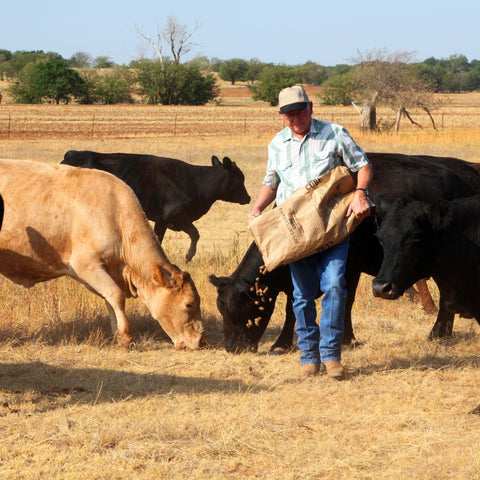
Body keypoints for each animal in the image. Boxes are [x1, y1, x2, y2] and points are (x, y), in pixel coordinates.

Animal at [0, 159, 204, 350]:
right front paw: (126, 337)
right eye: (189, 304)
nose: (201, 341)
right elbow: (116, 295)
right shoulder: (86, 266)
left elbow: (110, 299)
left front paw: (117, 334)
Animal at [61, 151, 251, 260]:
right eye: (239, 179)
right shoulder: (175, 216)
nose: (248, 198)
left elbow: (158, 239)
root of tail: (71, 155)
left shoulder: (162, 220)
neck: (196, 182)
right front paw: (189, 255)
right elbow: (195, 233)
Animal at [211, 153, 480, 352]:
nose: (231, 348)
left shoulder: (349, 267)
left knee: (445, 298)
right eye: (221, 309)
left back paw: (438, 333)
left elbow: (343, 301)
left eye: (242, 307)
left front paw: (342, 338)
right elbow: (295, 305)